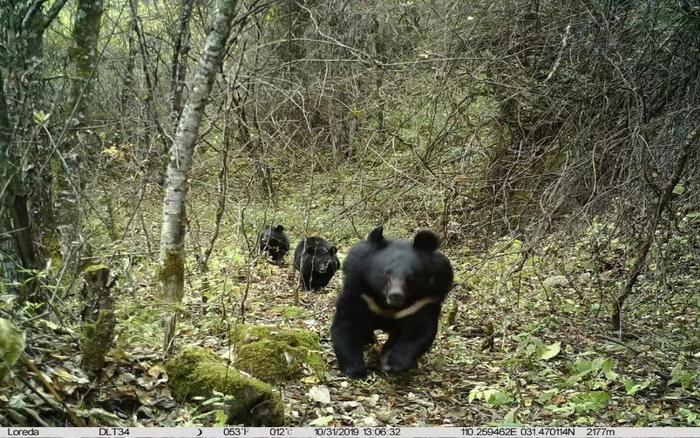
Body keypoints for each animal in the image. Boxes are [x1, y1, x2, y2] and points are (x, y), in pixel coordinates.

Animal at [330, 228, 452, 378]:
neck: (388, 305)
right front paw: (356, 370)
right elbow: (348, 324)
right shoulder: (360, 292)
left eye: (410, 277)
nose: (396, 295)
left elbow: (418, 332)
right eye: (386, 274)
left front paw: (391, 364)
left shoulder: (423, 301)